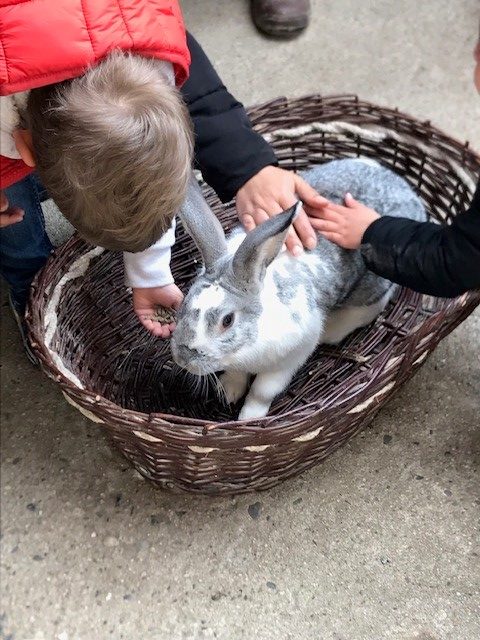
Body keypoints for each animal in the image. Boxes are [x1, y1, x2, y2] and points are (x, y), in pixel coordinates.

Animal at [171, 159, 426, 420]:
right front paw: (228, 392)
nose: (183, 358)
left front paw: (249, 417)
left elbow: (262, 391)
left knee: (372, 306)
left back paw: (332, 330)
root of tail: (406, 191)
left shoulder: (292, 356)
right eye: (184, 303)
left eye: (227, 320)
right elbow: (237, 374)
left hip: (371, 288)